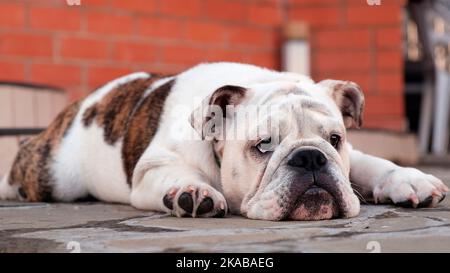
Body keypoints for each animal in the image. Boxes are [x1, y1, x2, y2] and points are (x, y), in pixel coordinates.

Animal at [0, 62, 446, 220]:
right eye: (263, 145)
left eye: (334, 139)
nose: (310, 158)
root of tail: (85, 102)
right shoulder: (151, 169)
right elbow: (176, 176)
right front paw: (193, 192)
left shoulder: (352, 155)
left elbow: (372, 164)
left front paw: (411, 179)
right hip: (55, 175)